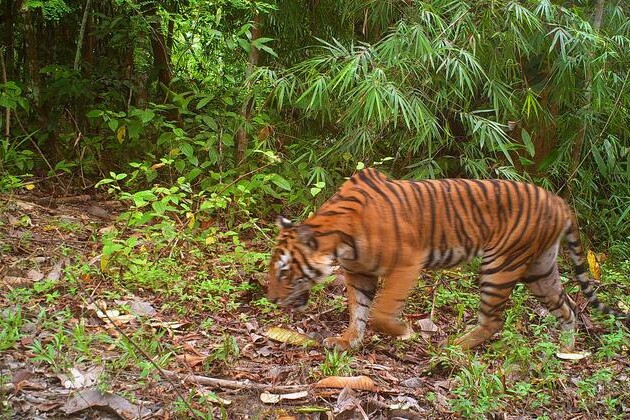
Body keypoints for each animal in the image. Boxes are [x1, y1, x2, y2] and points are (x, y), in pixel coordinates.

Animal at [268, 167, 630, 352]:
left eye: (284, 271)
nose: (270, 298)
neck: (338, 242)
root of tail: (559, 201)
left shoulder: (406, 264)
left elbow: (381, 313)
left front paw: (404, 332)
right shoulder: (360, 274)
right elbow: (358, 311)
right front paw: (347, 342)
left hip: (501, 265)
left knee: (494, 320)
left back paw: (456, 348)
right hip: (539, 271)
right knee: (568, 307)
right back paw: (565, 352)